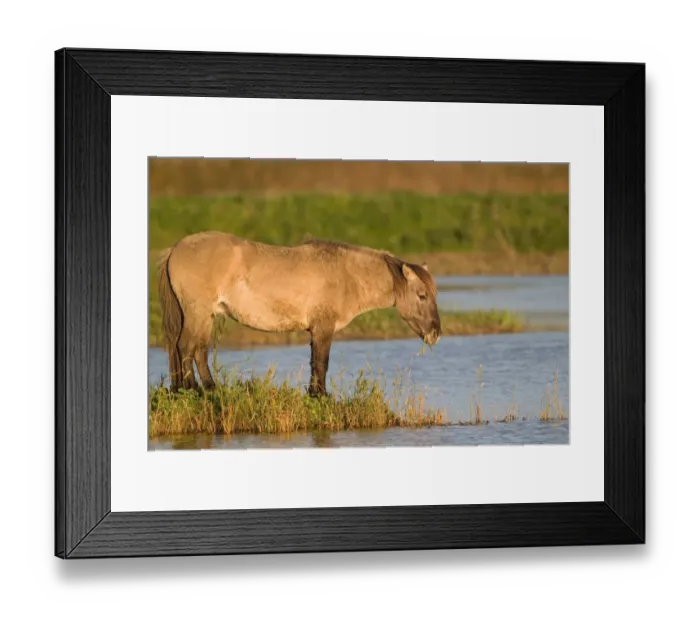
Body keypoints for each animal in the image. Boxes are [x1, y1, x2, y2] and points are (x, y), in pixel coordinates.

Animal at [157, 231, 441, 396]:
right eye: (422, 296)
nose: (436, 333)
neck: (346, 274)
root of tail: (175, 248)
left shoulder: (315, 330)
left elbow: (315, 362)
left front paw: (314, 394)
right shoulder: (323, 328)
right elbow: (322, 362)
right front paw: (322, 396)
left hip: (204, 316)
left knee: (198, 349)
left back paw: (204, 389)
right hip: (197, 313)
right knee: (186, 347)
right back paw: (195, 389)